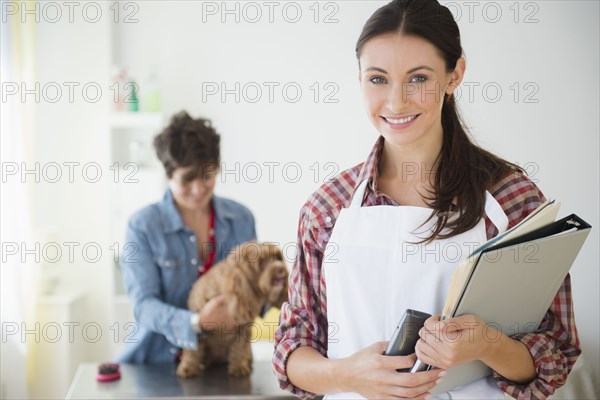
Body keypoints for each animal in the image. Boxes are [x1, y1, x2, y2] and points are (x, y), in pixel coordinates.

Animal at [176, 241, 288, 378]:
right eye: (262, 262)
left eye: (278, 258)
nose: (281, 268)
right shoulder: (197, 323)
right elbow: (193, 349)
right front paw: (188, 367)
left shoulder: (243, 329)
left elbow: (239, 348)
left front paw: (239, 367)